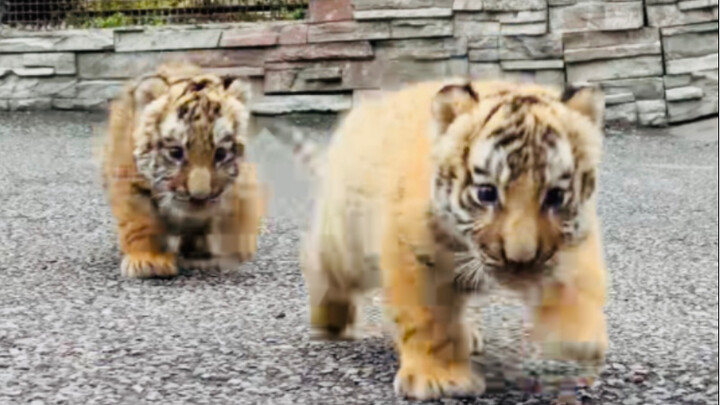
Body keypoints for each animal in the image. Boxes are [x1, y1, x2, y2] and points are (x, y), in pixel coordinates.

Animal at [102, 63, 265, 278]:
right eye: (176, 152)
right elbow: (141, 222)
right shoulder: (130, 181)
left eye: (220, 154)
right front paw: (148, 261)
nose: (200, 196)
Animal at [300, 79, 608, 399]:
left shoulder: (575, 236)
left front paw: (578, 338)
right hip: (347, 246)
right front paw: (439, 379)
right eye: (486, 193)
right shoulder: (413, 255)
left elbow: (580, 281)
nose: (520, 259)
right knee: (322, 266)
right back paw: (329, 323)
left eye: (555, 196)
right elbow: (429, 319)